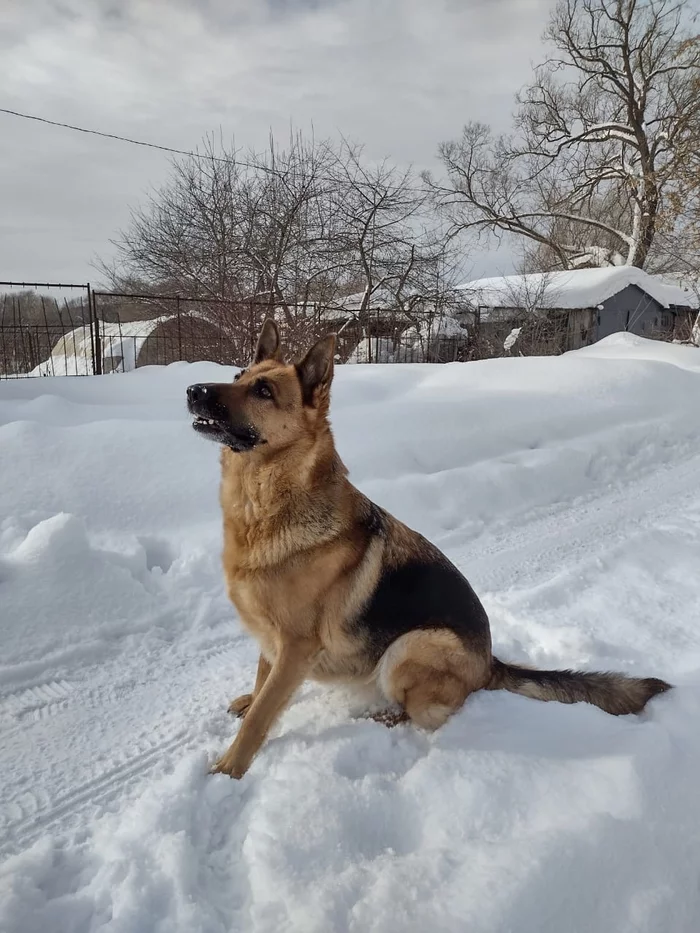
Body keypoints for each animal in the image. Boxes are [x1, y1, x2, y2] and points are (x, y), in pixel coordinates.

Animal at [187, 320, 672, 780]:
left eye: (263, 391)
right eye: (238, 375)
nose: (193, 391)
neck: (266, 504)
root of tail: (490, 663)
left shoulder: (295, 648)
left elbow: (262, 717)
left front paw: (228, 770)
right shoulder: (272, 644)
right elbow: (261, 683)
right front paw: (248, 704)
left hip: (412, 646)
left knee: (424, 713)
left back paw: (381, 718)